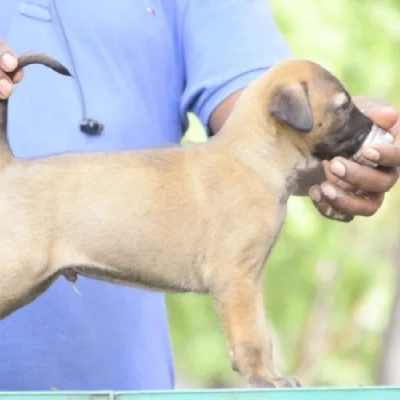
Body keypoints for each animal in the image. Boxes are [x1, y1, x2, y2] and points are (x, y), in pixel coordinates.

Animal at [0, 53, 376, 388]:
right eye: (344, 106)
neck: (253, 158)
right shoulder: (234, 279)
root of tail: (10, 166)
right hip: (17, 272)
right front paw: (261, 378)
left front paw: (271, 375)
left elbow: (260, 334)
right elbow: (250, 338)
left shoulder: (250, 281)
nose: (374, 125)